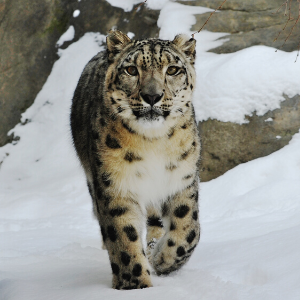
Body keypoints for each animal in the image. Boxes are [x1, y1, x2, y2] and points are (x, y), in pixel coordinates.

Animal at [70, 29, 200, 288]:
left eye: (172, 70)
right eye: (131, 70)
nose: (152, 96)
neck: (154, 142)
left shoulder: (182, 179)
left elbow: (188, 229)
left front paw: (162, 260)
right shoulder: (115, 185)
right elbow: (123, 239)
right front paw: (135, 285)